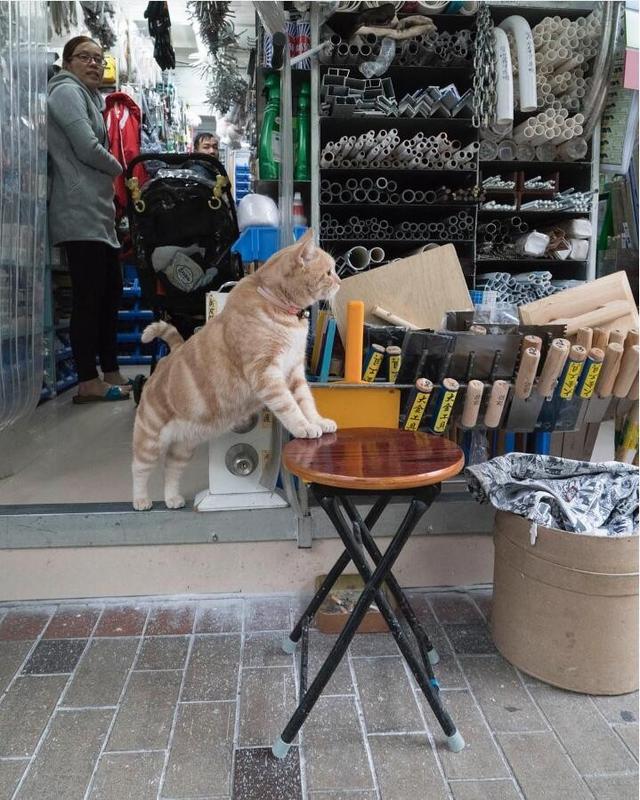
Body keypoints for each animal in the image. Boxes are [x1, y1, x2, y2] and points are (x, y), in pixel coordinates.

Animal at [131, 228, 340, 510]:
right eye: (328, 272)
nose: (340, 282)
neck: (281, 309)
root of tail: (169, 356)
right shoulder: (267, 373)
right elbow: (290, 406)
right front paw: (303, 427)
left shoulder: (294, 371)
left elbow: (306, 402)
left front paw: (317, 421)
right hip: (149, 439)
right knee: (139, 470)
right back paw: (141, 499)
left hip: (184, 445)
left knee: (171, 469)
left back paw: (172, 498)